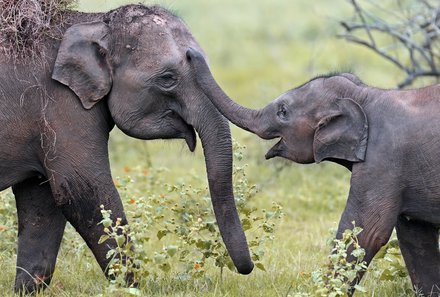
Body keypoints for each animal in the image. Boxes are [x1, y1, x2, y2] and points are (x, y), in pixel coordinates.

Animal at [0, 4, 253, 292]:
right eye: (168, 78)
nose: (246, 270)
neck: (95, 22)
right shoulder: (61, 106)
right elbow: (81, 192)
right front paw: (131, 288)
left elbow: (42, 200)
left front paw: (25, 291)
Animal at [187, 48, 440, 296]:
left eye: (283, 112)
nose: (190, 54)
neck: (364, 95)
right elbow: (415, 237)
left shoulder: (383, 160)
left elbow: (366, 231)